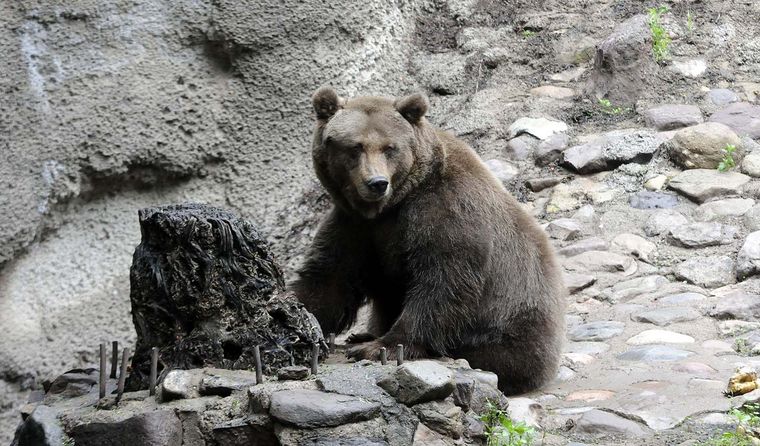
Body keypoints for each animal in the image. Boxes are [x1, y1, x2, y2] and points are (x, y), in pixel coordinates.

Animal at [291, 86, 566, 395]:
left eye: (390, 148)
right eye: (355, 147)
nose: (377, 183)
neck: (392, 205)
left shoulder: (445, 212)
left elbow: (442, 282)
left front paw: (381, 347)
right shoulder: (356, 227)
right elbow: (330, 279)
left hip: (509, 321)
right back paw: (362, 334)